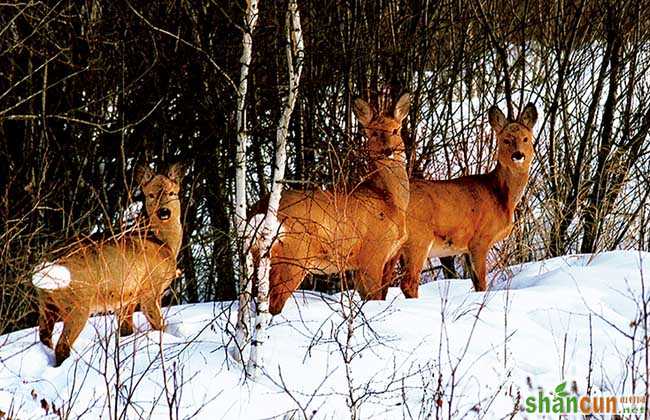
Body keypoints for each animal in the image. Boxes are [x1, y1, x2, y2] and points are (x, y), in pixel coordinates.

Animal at [33, 162, 185, 366]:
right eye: (151, 195)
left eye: (172, 193)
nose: (164, 212)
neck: (163, 243)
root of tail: (46, 267)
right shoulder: (150, 289)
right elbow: (159, 326)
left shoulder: (127, 298)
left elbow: (126, 330)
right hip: (79, 303)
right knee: (62, 346)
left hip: (45, 304)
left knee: (45, 338)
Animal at [249, 92, 410, 316]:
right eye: (374, 132)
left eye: (395, 130)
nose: (388, 151)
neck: (390, 202)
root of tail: (259, 209)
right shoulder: (372, 253)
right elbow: (374, 298)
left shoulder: (378, 260)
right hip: (293, 257)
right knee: (274, 304)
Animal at [382, 103, 540, 296]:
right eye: (506, 140)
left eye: (526, 138)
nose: (518, 155)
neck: (500, 196)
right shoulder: (480, 239)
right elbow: (482, 282)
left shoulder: (465, 247)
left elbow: (475, 282)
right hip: (418, 240)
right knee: (408, 283)